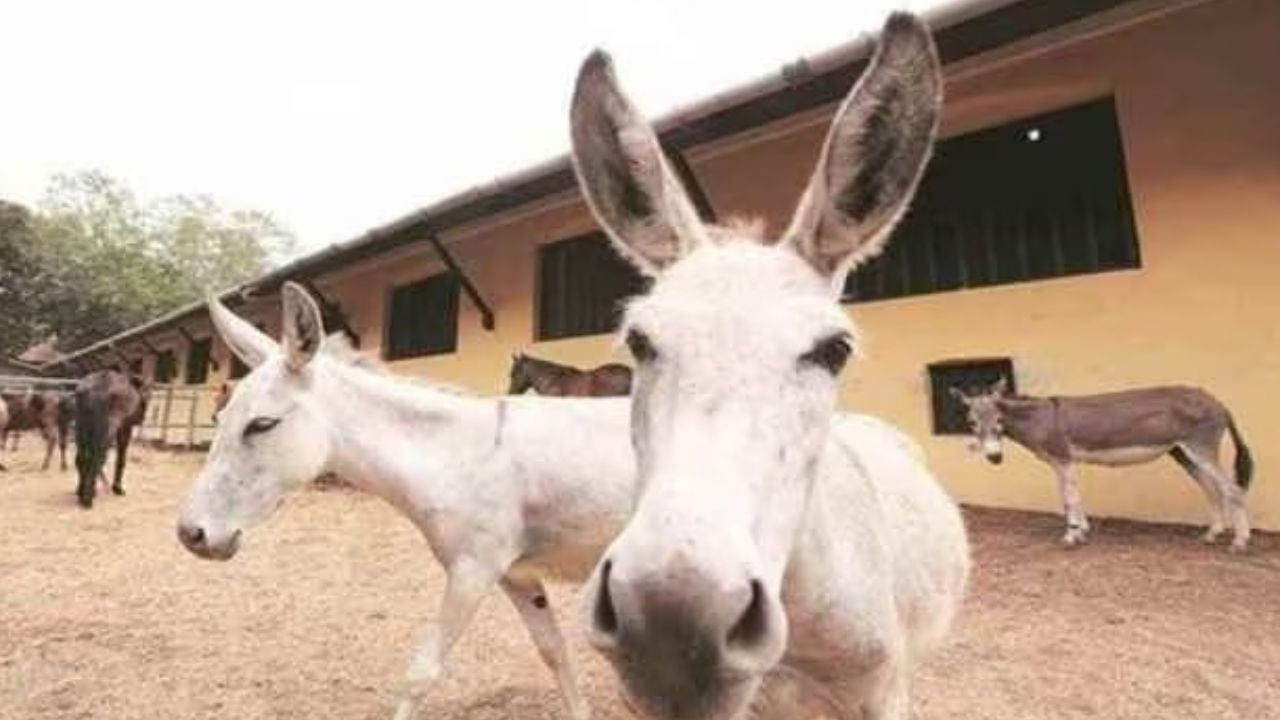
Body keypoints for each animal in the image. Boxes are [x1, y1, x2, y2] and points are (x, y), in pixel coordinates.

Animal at [74, 366, 149, 507]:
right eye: (145, 398)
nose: (142, 418)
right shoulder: (125, 425)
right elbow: (121, 455)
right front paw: (118, 489)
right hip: (105, 424)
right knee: (97, 456)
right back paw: (88, 499)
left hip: (81, 423)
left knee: (82, 456)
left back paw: (81, 492)